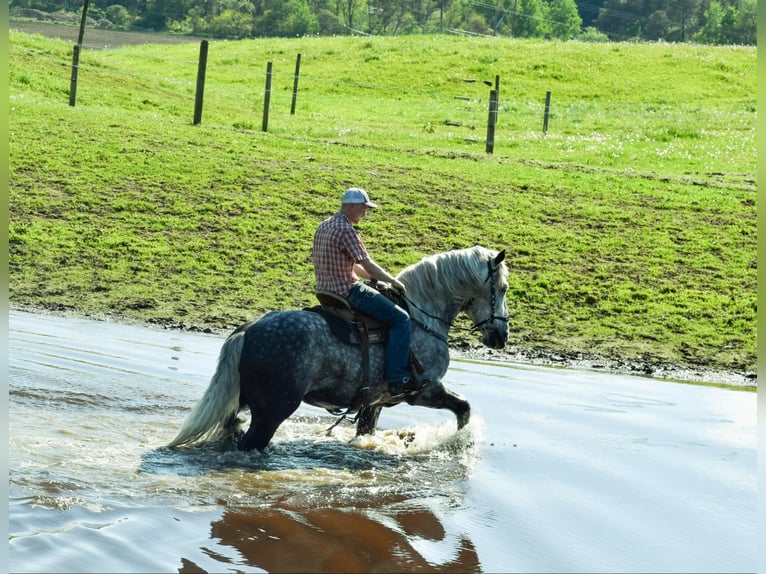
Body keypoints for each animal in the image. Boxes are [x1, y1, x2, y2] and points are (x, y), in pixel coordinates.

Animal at [168, 245, 510, 452]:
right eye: (503, 288)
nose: (502, 336)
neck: (420, 316)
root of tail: (247, 330)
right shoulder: (423, 390)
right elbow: (464, 408)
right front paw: (457, 443)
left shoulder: (375, 402)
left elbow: (366, 431)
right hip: (272, 411)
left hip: (243, 402)